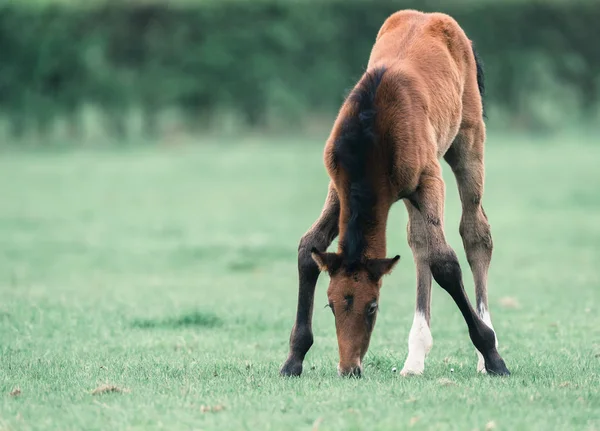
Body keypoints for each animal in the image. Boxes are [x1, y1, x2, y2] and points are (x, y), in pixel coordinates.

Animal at [278, 9, 508, 378]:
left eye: (372, 307)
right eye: (330, 305)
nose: (349, 368)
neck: (369, 138)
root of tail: (432, 16)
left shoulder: (429, 180)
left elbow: (445, 262)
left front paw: (492, 354)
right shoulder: (338, 185)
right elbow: (307, 246)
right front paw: (293, 359)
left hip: (468, 141)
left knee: (475, 233)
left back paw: (484, 351)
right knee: (419, 242)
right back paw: (415, 358)